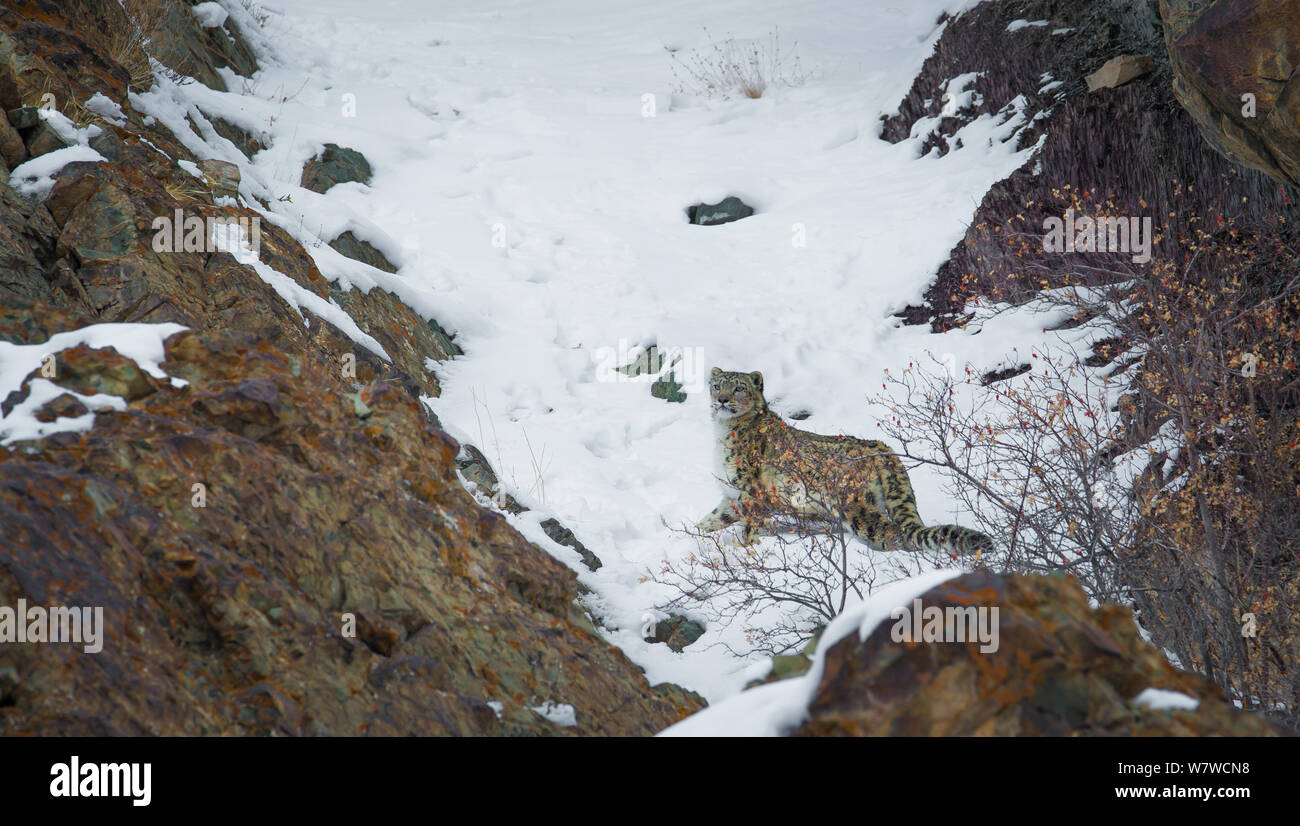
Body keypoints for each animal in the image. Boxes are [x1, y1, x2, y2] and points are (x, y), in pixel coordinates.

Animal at [695, 367, 993, 556]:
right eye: (717, 386)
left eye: (739, 388)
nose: (722, 400)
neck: (723, 433)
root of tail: (880, 446)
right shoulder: (733, 495)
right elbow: (714, 517)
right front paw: (692, 534)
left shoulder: (752, 492)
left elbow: (750, 526)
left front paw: (747, 549)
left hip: (855, 507)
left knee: (892, 534)